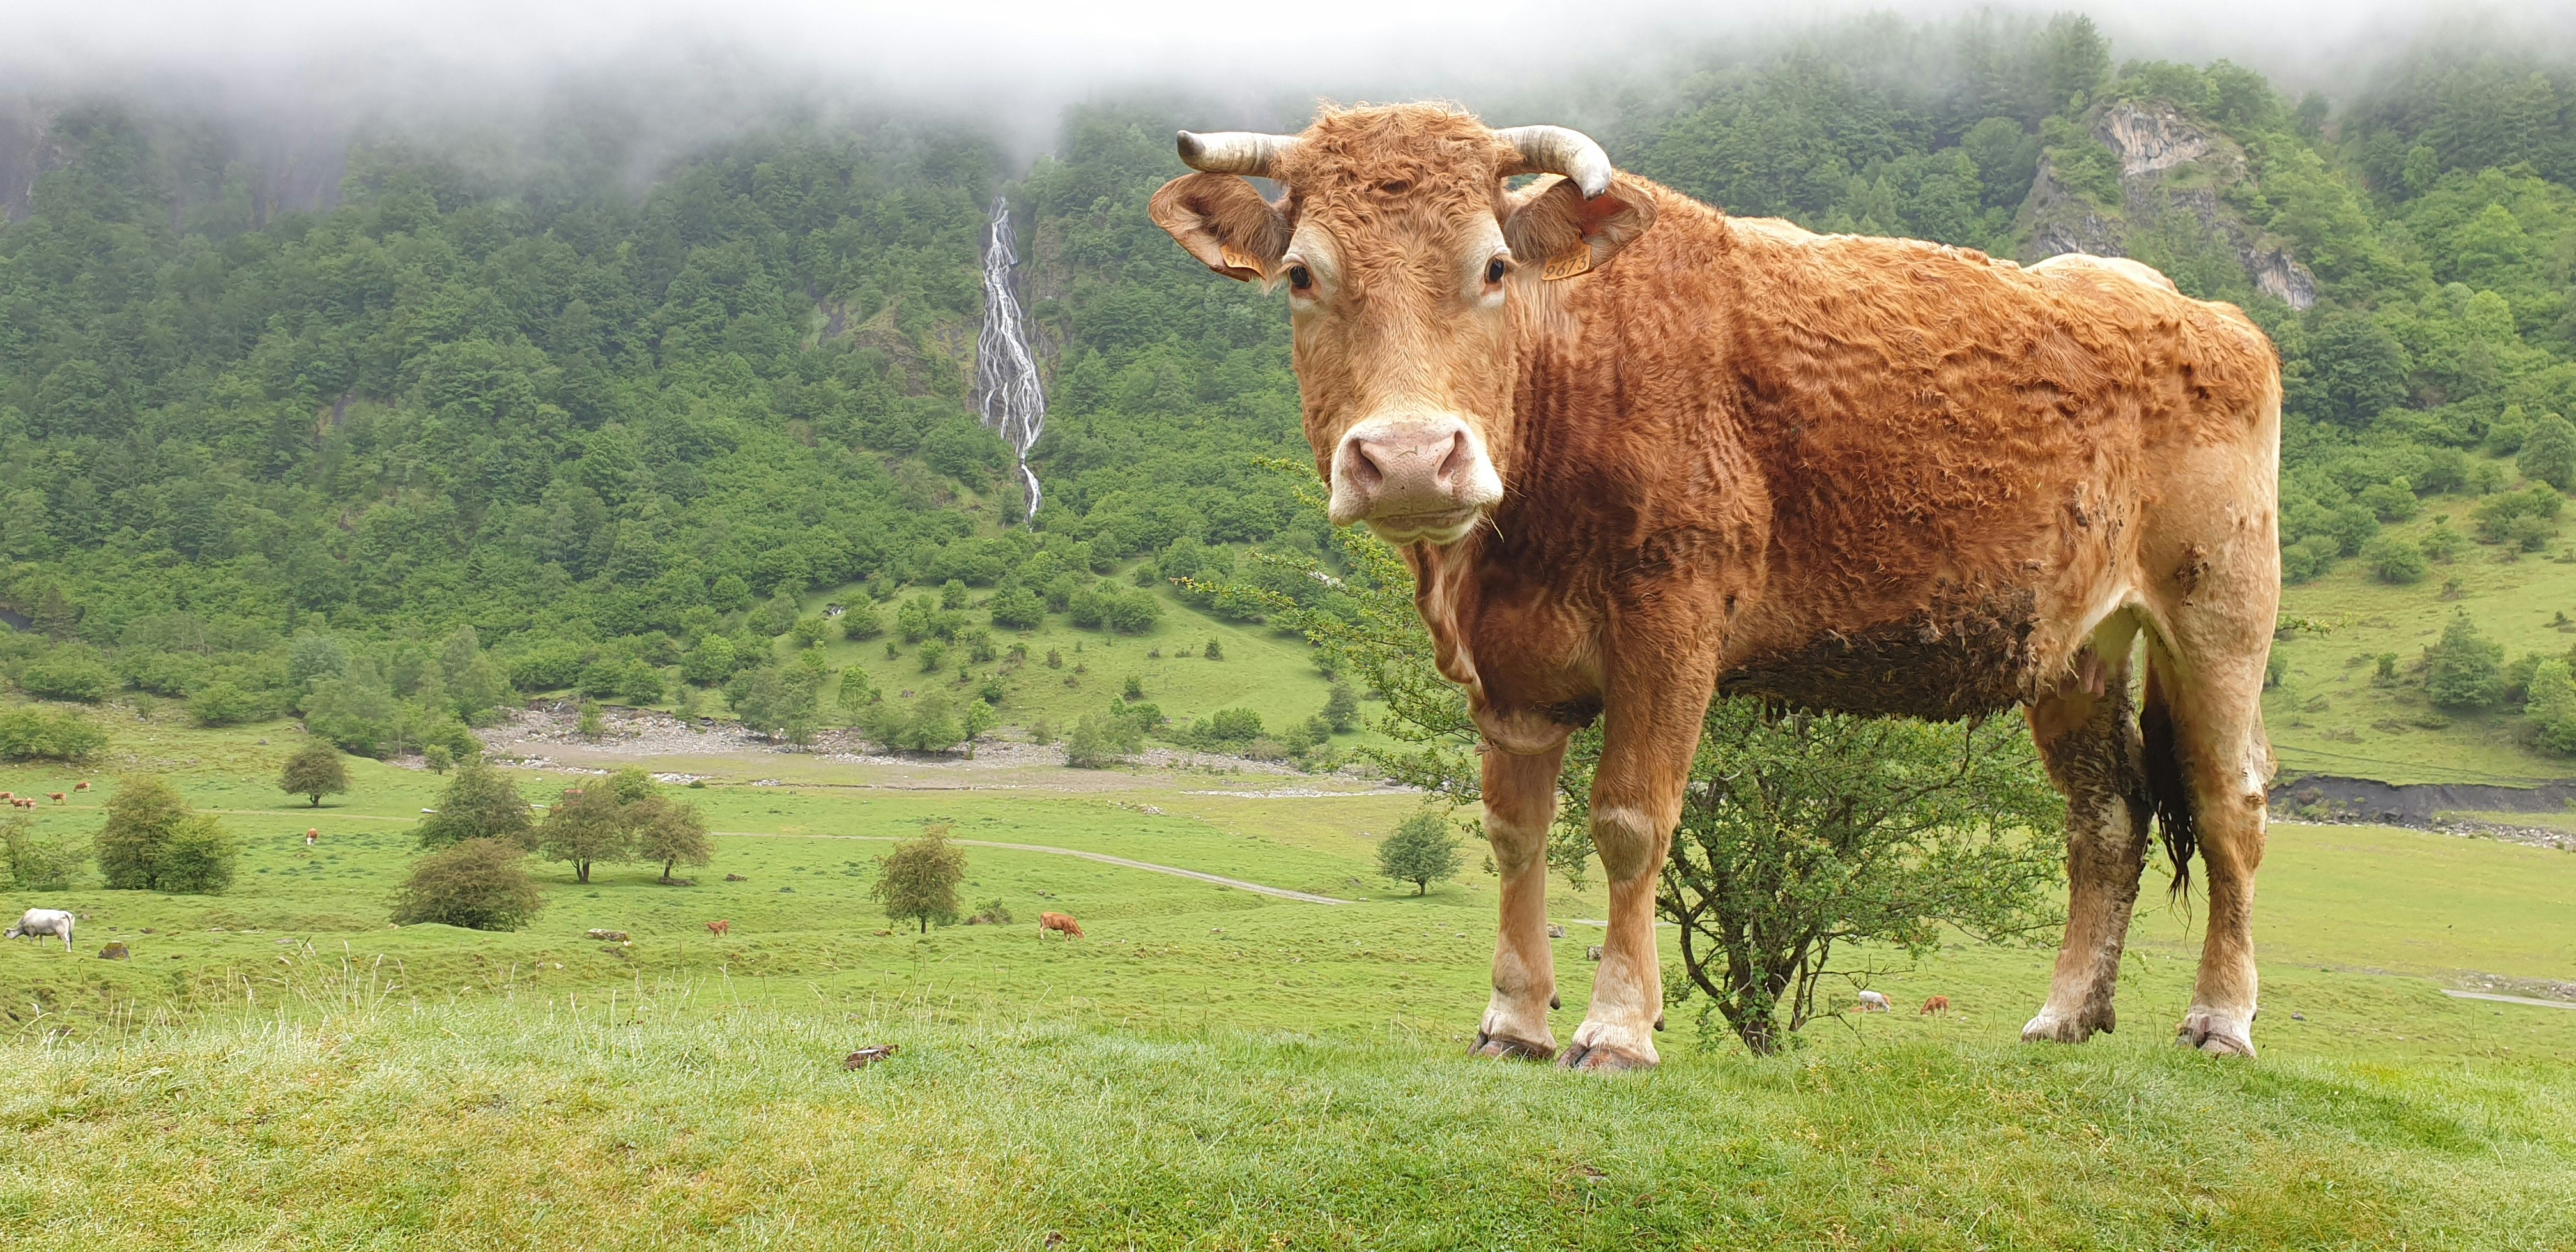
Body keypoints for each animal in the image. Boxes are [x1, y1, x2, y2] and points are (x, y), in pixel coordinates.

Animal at [1152, 105, 2281, 1070]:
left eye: (1495, 266)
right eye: (1302, 274)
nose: (1411, 458)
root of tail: (2187, 306)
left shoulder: (1671, 630)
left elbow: (1629, 822)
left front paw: (1614, 1030)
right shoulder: (1510, 676)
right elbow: (1515, 835)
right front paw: (1514, 1022)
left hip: (2218, 615)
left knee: (2229, 808)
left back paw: (2221, 1020)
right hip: (2071, 648)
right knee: (2106, 818)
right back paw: (2064, 1016)